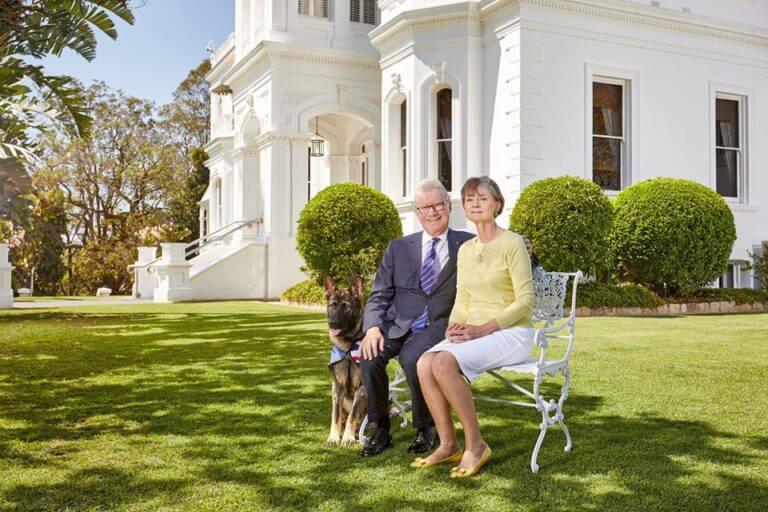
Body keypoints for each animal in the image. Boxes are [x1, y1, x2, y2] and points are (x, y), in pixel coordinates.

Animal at [324, 274, 368, 446]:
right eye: (332, 305)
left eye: (346, 306)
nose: (332, 323)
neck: (349, 347)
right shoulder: (338, 387)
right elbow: (335, 416)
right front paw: (333, 437)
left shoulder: (361, 387)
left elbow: (353, 415)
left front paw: (348, 437)